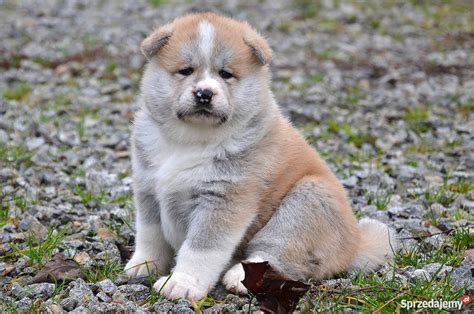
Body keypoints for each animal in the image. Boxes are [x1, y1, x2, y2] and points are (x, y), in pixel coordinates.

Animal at [125, 12, 396, 300]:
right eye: (186, 70)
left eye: (226, 74)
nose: (204, 94)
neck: (190, 140)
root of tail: (356, 244)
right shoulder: (148, 188)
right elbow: (150, 235)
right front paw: (143, 264)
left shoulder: (223, 198)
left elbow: (201, 248)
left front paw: (182, 283)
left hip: (308, 198)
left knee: (278, 252)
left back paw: (241, 277)